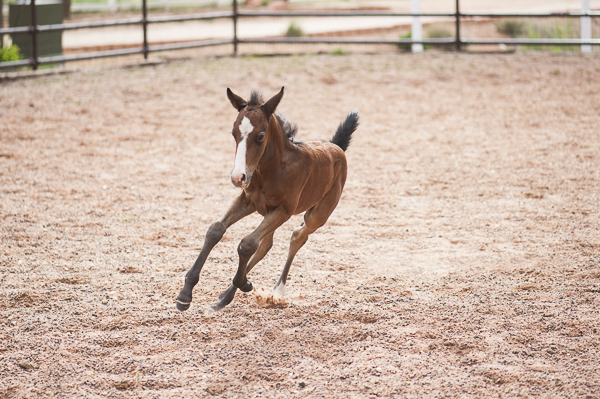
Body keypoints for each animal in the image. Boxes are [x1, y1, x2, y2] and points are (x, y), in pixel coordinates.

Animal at [176, 87, 358, 316]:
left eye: (260, 136)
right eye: (234, 134)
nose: (238, 177)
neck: (271, 170)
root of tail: (336, 147)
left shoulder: (283, 210)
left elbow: (246, 244)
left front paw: (245, 283)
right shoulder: (248, 201)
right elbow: (216, 230)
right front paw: (185, 295)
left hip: (317, 215)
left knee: (297, 236)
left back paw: (277, 290)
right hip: (269, 212)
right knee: (266, 244)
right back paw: (225, 297)